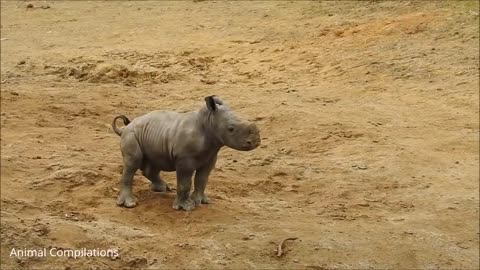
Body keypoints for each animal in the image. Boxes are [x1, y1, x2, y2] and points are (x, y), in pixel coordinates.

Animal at [111, 95, 260, 211]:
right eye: (231, 129)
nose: (256, 141)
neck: (209, 123)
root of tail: (125, 127)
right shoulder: (185, 159)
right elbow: (185, 182)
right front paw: (186, 207)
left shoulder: (210, 156)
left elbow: (202, 179)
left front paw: (201, 201)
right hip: (131, 135)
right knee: (133, 163)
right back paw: (130, 204)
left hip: (153, 135)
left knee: (154, 163)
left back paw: (162, 189)